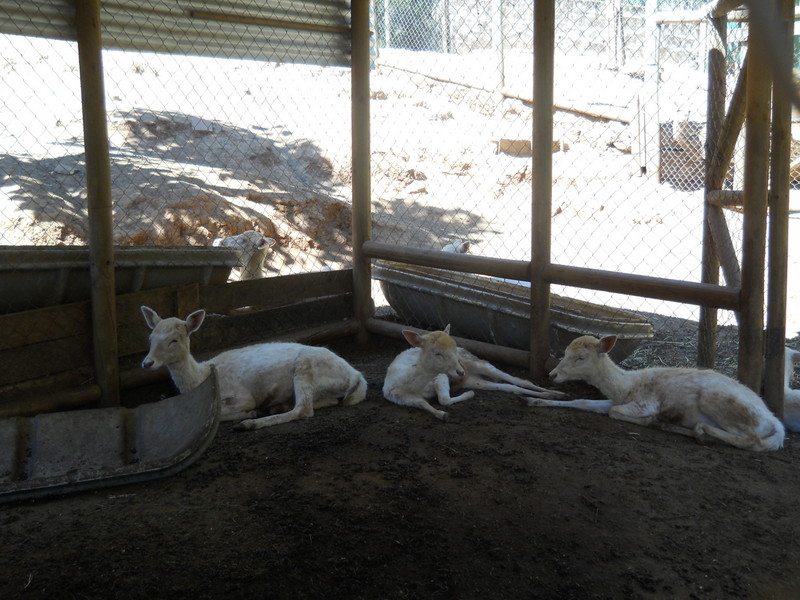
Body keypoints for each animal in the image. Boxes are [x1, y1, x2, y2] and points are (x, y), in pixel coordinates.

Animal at [142, 308, 368, 428]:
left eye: (174, 340)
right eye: (150, 338)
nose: (147, 363)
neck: (201, 376)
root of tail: (357, 376)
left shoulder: (242, 396)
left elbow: (220, 412)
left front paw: (250, 414)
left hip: (306, 366)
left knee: (304, 409)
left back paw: (251, 423)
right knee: (329, 401)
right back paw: (278, 407)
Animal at [382, 326, 564, 420]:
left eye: (454, 349)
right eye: (437, 353)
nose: (459, 371)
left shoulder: (441, 376)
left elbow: (444, 399)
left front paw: (468, 396)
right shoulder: (398, 397)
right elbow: (423, 403)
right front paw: (442, 414)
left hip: (479, 363)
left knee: (519, 380)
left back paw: (557, 393)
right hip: (476, 380)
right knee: (509, 387)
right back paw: (546, 396)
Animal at [528, 332, 784, 450]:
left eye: (580, 357)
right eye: (564, 352)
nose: (552, 375)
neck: (626, 387)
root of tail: (777, 424)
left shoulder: (645, 403)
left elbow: (615, 413)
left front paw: (650, 420)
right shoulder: (615, 400)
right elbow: (582, 402)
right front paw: (538, 401)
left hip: (721, 402)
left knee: (753, 440)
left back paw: (697, 430)